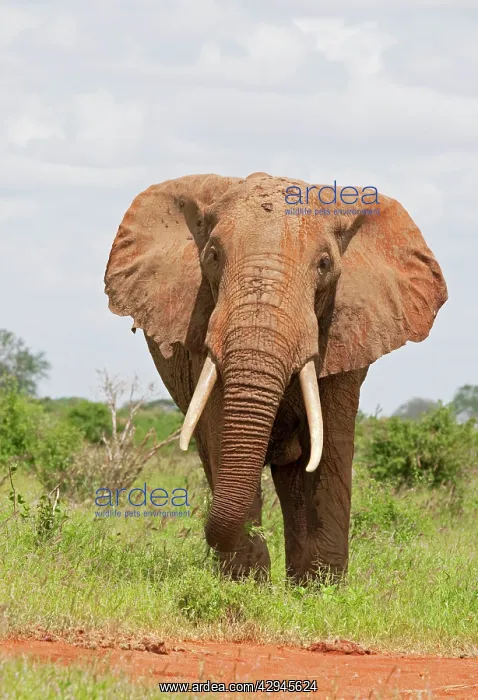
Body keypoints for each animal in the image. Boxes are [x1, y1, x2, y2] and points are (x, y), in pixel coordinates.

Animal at [104, 172, 447, 584]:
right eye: (213, 256)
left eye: (324, 264)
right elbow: (222, 433)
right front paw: (245, 586)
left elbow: (328, 451)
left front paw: (320, 591)